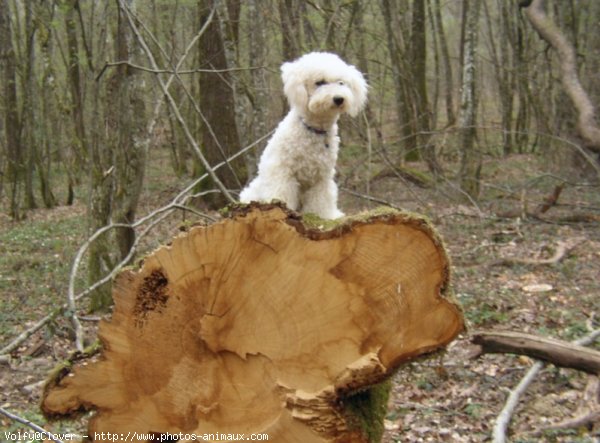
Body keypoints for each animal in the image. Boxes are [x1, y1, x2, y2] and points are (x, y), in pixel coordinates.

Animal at [239, 52, 366, 220]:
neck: (314, 130)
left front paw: (326, 216)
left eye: (341, 83)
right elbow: (282, 194)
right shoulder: (283, 172)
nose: (339, 98)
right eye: (319, 82)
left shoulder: (322, 178)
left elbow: (321, 200)